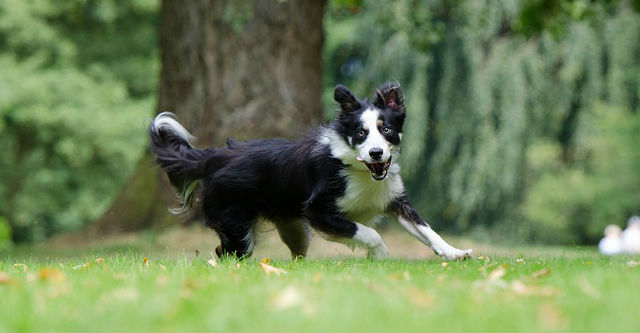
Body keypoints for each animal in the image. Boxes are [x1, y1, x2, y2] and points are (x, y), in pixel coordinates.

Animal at [149, 82, 470, 260]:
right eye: (361, 133)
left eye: (386, 130)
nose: (376, 153)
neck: (359, 169)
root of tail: (214, 156)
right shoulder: (318, 210)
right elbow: (367, 232)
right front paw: (380, 255)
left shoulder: (393, 199)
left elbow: (427, 230)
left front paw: (455, 252)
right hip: (236, 224)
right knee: (225, 253)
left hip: (292, 228)